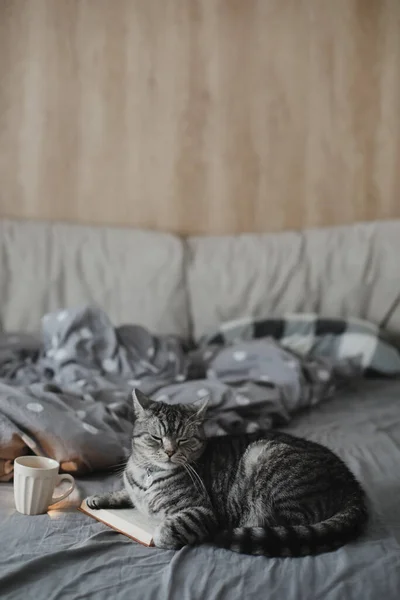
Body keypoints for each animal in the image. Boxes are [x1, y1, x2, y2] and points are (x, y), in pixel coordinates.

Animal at [87, 390, 368, 556]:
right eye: (156, 437)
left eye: (184, 439)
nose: (169, 451)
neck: (148, 474)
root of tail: (352, 482)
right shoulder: (133, 488)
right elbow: (123, 492)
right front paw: (98, 498)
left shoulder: (200, 511)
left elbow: (168, 529)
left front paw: (158, 532)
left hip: (267, 460)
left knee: (285, 525)